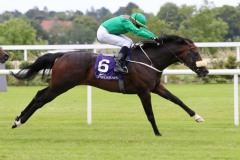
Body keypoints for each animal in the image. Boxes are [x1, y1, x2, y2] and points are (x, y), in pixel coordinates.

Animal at [10, 34, 208, 136]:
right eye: (195, 53)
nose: (205, 71)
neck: (149, 60)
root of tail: (62, 55)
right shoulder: (144, 91)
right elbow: (150, 114)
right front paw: (158, 133)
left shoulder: (156, 87)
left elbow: (177, 100)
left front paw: (197, 116)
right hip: (61, 85)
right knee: (41, 99)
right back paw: (19, 121)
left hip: (58, 84)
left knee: (38, 94)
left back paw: (18, 119)